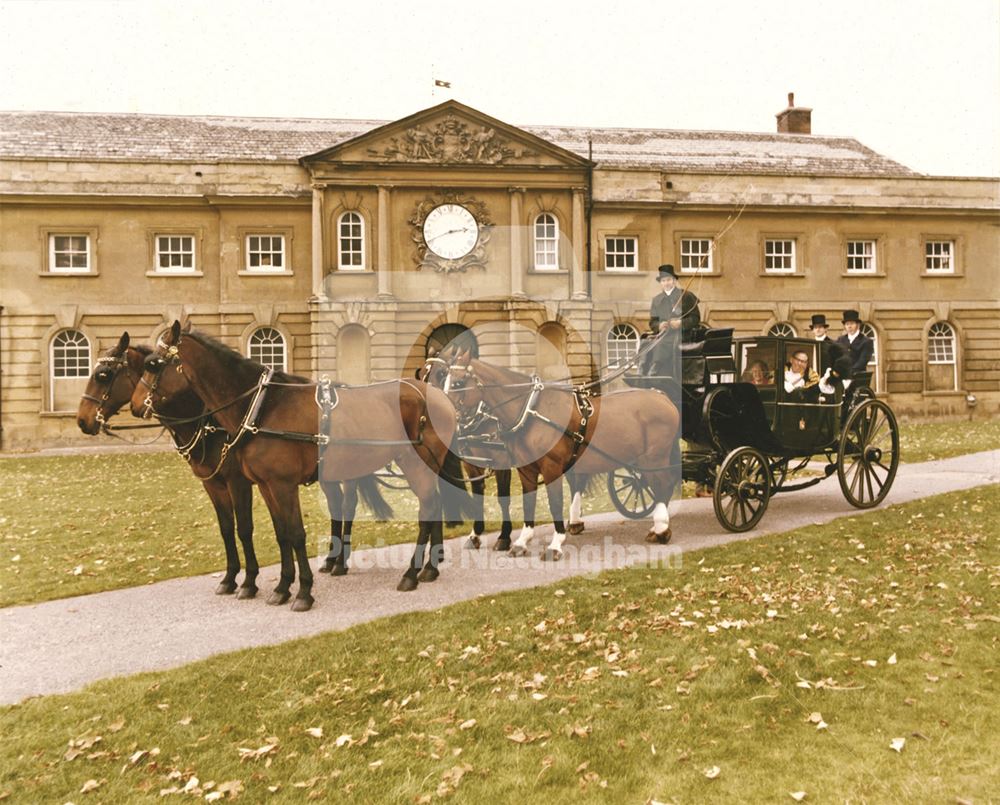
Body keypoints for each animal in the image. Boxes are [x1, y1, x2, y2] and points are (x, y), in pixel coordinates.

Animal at [129, 322, 464, 608]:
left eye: (153, 364)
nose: (134, 405)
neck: (262, 406)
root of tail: (435, 394)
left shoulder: (281, 485)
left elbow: (295, 533)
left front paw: (302, 591)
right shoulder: (265, 486)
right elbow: (282, 534)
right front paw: (282, 586)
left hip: (416, 464)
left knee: (427, 509)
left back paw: (411, 573)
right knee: (432, 506)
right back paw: (428, 568)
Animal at [438, 348, 680, 564]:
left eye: (457, 383)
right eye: (444, 380)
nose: (444, 415)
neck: (531, 411)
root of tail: (663, 397)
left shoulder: (550, 468)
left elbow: (554, 503)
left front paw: (555, 544)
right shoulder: (526, 470)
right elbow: (528, 503)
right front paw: (521, 542)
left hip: (654, 458)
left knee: (663, 484)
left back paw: (661, 528)